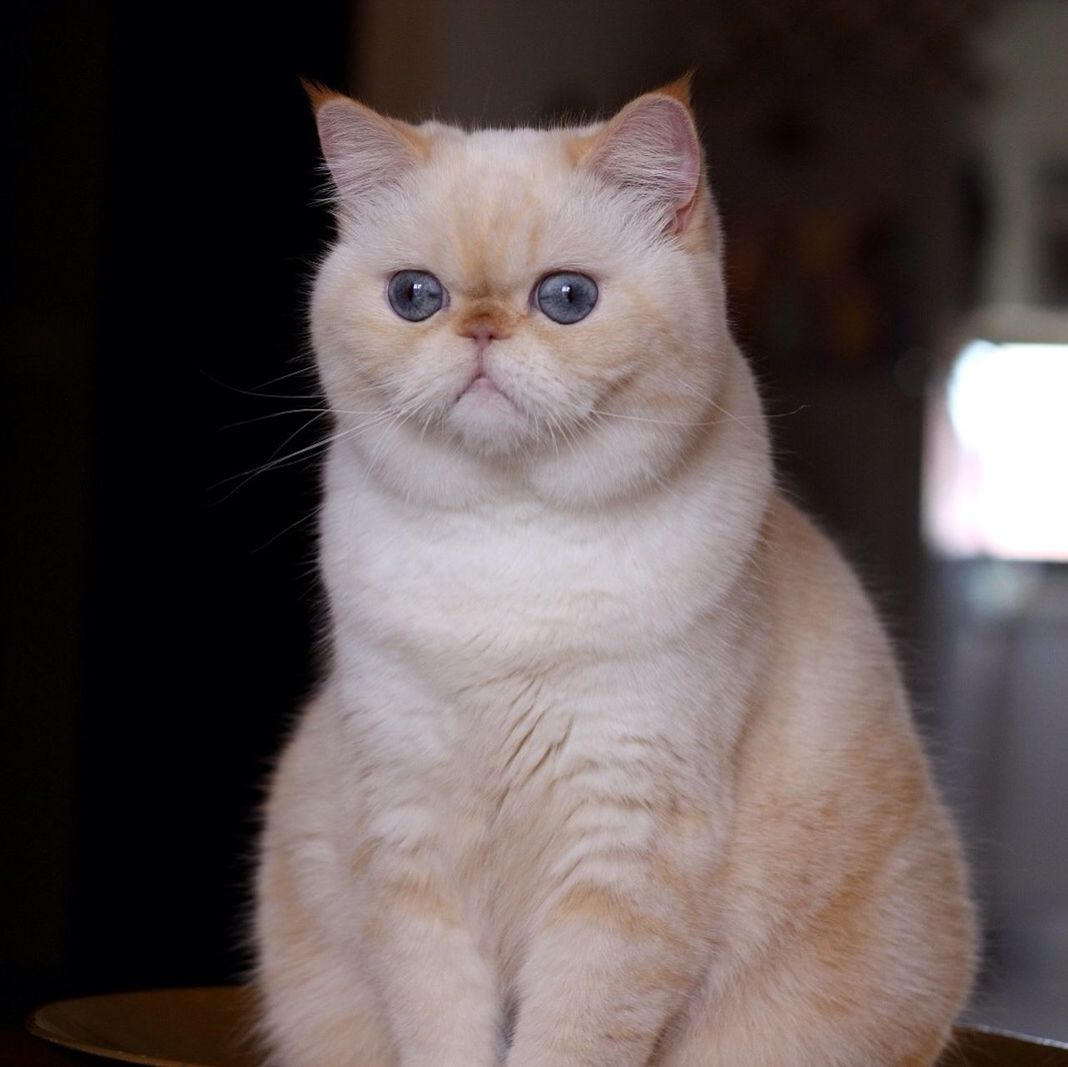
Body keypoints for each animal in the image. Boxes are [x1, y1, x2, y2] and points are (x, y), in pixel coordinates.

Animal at [252, 77, 978, 1067]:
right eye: (414, 296)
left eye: (566, 298)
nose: (481, 328)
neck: (508, 539)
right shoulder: (410, 834)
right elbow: (440, 1022)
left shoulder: (625, 841)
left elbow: (572, 1032)